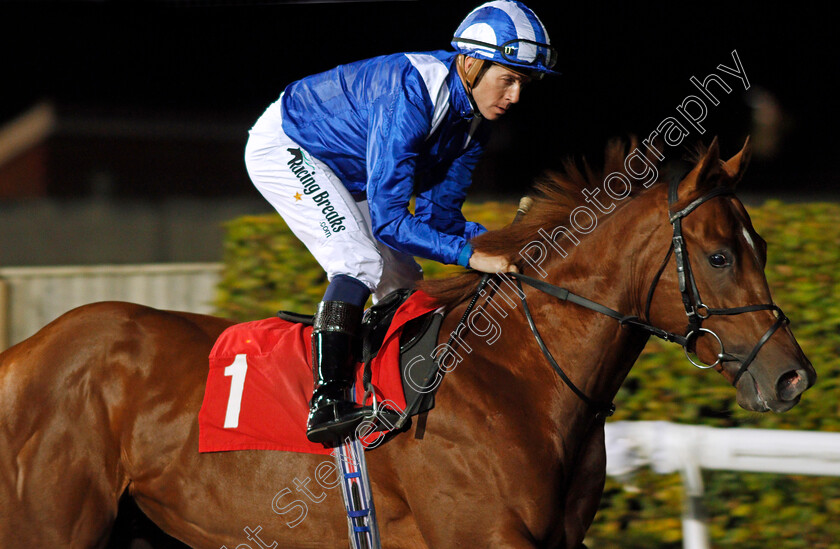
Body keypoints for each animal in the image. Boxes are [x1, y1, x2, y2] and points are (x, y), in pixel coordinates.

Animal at [0, 135, 812, 544]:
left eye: (765, 243)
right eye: (719, 255)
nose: (792, 375)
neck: (518, 377)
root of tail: (24, 353)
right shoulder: (482, 536)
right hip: (54, 528)